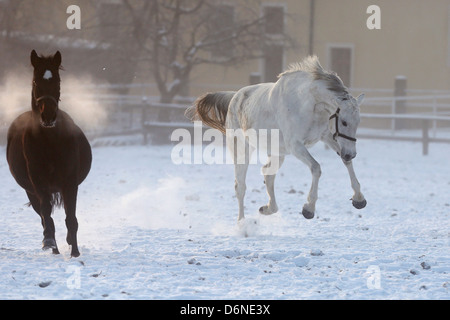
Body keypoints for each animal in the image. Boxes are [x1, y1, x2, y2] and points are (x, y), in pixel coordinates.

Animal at [7, 50, 92, 258]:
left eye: (58, 81)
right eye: (36, 81)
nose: (48, 116)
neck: (51, 141)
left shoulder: (70, 183)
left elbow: (71, 219)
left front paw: (75, 252)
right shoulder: (38, 183)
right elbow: (47, 214)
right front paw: (50, 244)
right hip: (30, 191)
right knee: (44, 217)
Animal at [186, 55, 366, 220]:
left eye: (358, 122)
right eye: (343, 122)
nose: (350, 153)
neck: (308, 103)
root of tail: (234, 98)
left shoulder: (327, 136)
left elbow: (345, 163)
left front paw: (359, 199)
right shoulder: (295, 145)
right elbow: (316, 168)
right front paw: (308, 208)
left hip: (277, 151)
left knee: (268, 174)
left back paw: (267, 209)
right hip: (242, 149)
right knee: (240, 187)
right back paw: (242, 224)